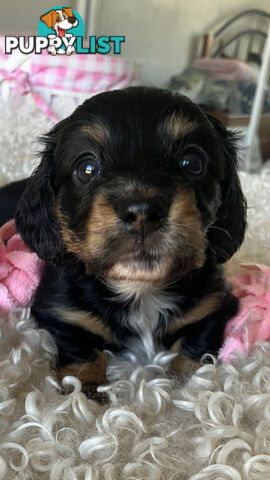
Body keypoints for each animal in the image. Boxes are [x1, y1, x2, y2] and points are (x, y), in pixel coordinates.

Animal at [0, 87, 247, 394]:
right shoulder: (60, 311)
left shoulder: (214, 303)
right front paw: (84, 393)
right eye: (87, 168)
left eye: (192, 162)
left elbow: (195, 345)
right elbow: (81, 352)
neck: (140, 289)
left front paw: (189, 386)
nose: (142, 212)